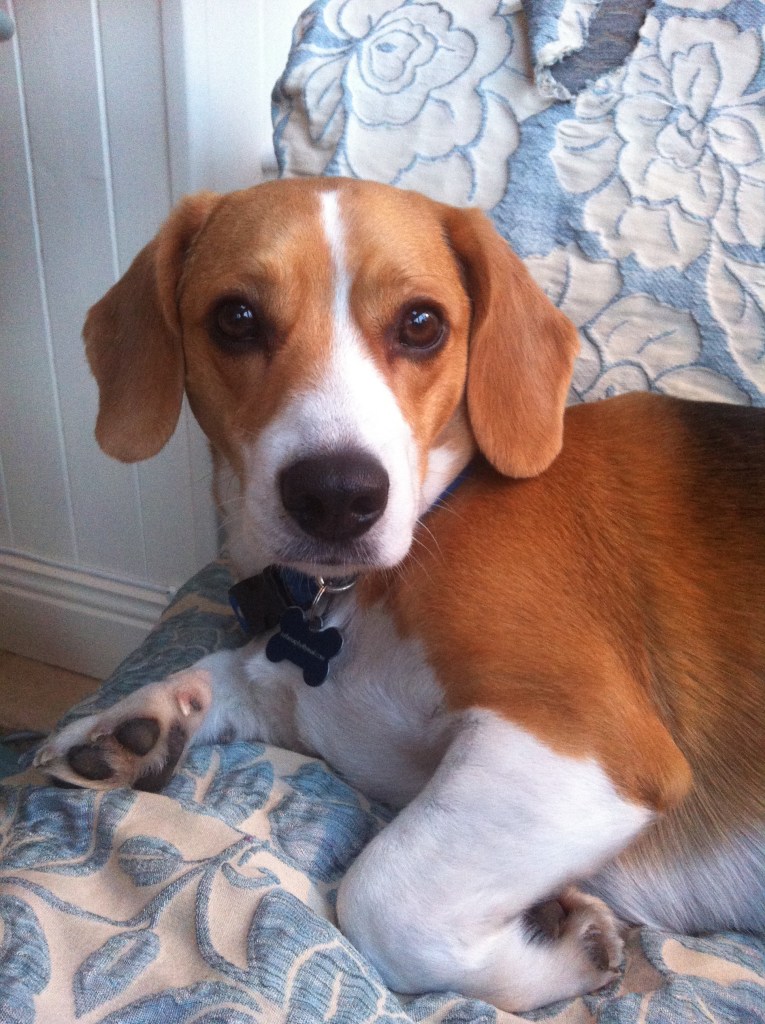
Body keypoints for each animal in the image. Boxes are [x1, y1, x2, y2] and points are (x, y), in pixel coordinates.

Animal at [37, 178, 765, 1015]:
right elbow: (234, 671)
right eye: (236, 317)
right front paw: (138, 721)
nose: (335, 495)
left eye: (421, 324)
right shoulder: (317, 703)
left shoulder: (589, 746)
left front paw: (566, 949)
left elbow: (378, 896)